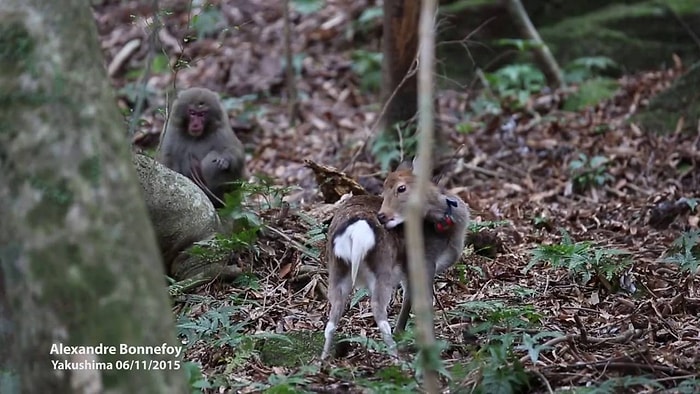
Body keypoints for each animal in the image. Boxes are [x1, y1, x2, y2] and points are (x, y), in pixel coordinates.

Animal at [322, 162, 470, 358]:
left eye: (401, 188)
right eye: (384, 191)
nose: (382, 216)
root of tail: (355, 230)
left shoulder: (408, 272)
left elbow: (409, 298)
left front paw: (402, 334)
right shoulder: (425, 260)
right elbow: (423, 303)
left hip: (337, 268)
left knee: (332, 317)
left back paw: (323, 359)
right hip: (382, 268)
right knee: (378, 309)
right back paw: (396, 356)